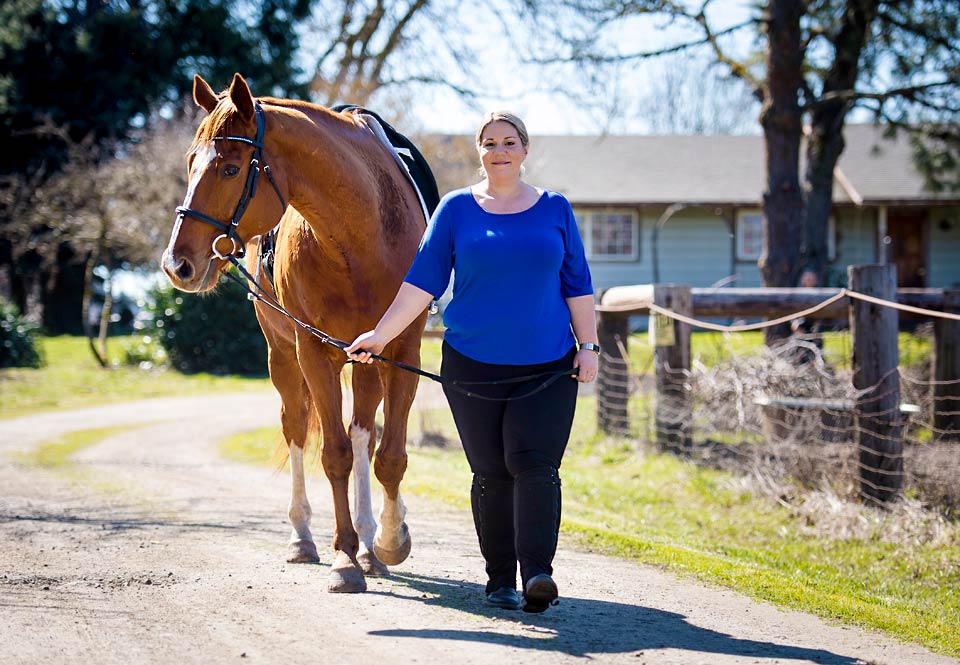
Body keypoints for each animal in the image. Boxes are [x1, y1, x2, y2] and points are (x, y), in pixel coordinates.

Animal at [161, 73, 434, 593]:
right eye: (189, 163)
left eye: (230, 169)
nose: (177, 263)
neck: (359, 236)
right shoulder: (313, 352)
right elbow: (333, 454)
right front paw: (344, 558)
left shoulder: (401, 351)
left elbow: (387, 454)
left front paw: (389, 539)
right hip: (284, 358)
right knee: (297, 429)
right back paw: (304, 537)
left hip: (365, 363)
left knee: (365, 433)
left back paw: (370, 541)